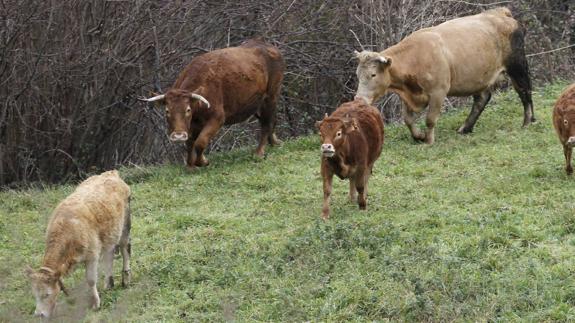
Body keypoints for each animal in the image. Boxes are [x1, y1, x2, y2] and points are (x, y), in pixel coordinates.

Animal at [25, 171, 131, 320]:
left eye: (47, 294)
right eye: (34, 294)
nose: (39, 314)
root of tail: (110, 173)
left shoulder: (92, 255)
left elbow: (91, 280)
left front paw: (96, 304)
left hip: (125, 225)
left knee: (125, 248)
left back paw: (125, 280)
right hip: (110, 236)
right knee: (109, 255)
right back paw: (108, 284)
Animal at [356, 7, 536, 144]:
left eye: (373, 74)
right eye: (358, 74)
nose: (359, 99)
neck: (415, 56)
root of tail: (500, 13)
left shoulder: (438, 91)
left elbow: (430, 119)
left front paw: (428, 141)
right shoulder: (409, 94)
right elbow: (408, 119)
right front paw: (418, 136)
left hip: (517, 66)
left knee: (525, 92)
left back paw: (528, 122)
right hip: (481, 76)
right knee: (482, 98)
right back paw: (465, 128)